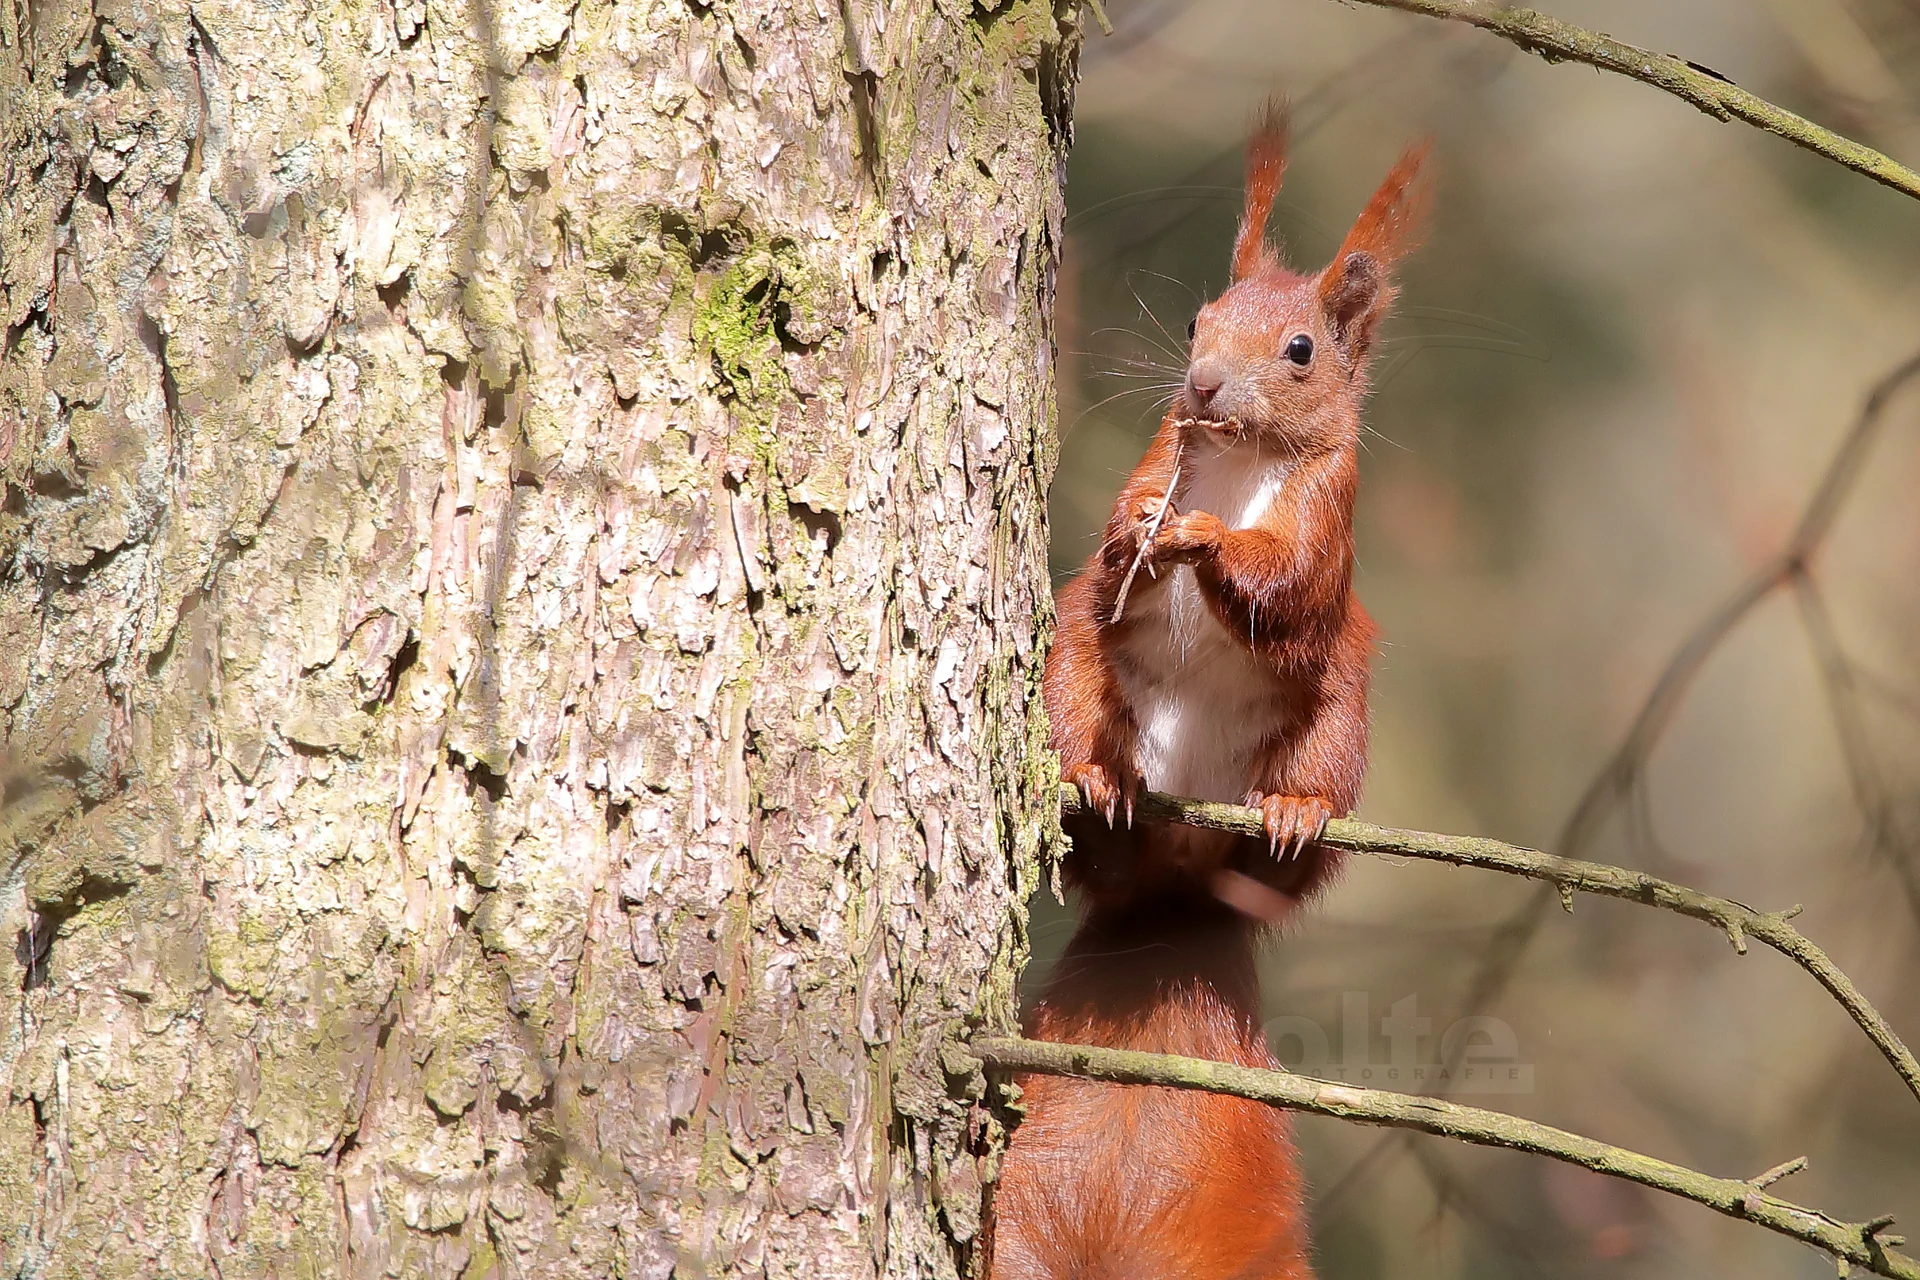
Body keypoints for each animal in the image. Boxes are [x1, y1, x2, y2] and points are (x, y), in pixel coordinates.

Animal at [988, 106, 1428, 1280]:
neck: (1234, 466)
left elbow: (1285, 586)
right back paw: (1103, 786)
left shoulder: (1328, 525)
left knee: (1287, 859)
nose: (1202, 389)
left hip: (1339, 720)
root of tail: (1177, 886)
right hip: (1075, 677)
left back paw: (1287, 814)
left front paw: (1201, 541)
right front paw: (1141, 531)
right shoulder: (1157, 455)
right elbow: (1118, 544)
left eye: (1302, 350)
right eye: (1196, 319)